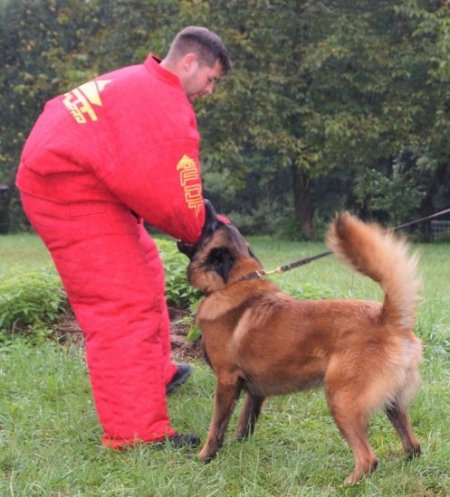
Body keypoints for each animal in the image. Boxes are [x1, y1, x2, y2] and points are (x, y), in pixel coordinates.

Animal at [178, 201, 422, 480]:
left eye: (211, 226)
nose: (206, 204)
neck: (233, 282)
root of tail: (386, 317)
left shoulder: (227, 381)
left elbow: (216, 426)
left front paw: (205, 456)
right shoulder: (255, 391)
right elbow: (245, 422)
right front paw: (240, 448)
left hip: (341, 401)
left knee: (368, 459)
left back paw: (347, 483)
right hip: (392, 404)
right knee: (413, 446)